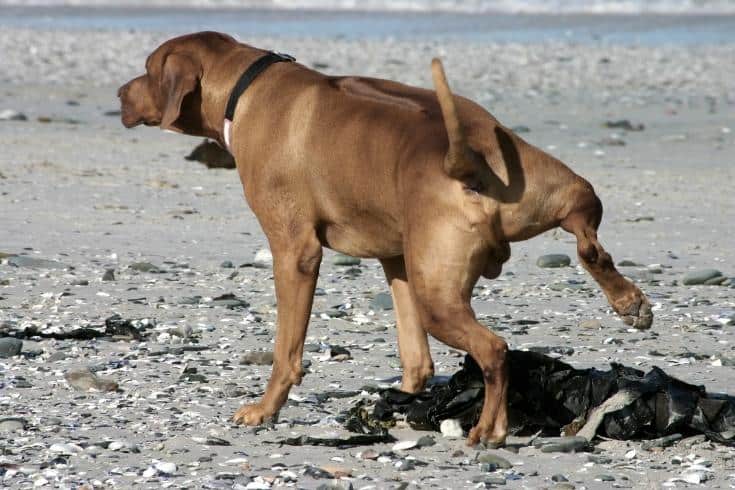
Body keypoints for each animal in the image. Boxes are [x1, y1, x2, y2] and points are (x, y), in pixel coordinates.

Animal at [118, 29, 652, 444]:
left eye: (146, 68)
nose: (120, 94)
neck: (246, 86)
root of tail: (468, 158)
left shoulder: (294, 251)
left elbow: (287, 349)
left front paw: (265, 408)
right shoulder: (397, 260)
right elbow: (415, 357)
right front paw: (405, 397)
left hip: (439, 296)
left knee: (494, 350)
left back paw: (489, 428)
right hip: (555, 190)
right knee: (587, 236)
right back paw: (628, 300)